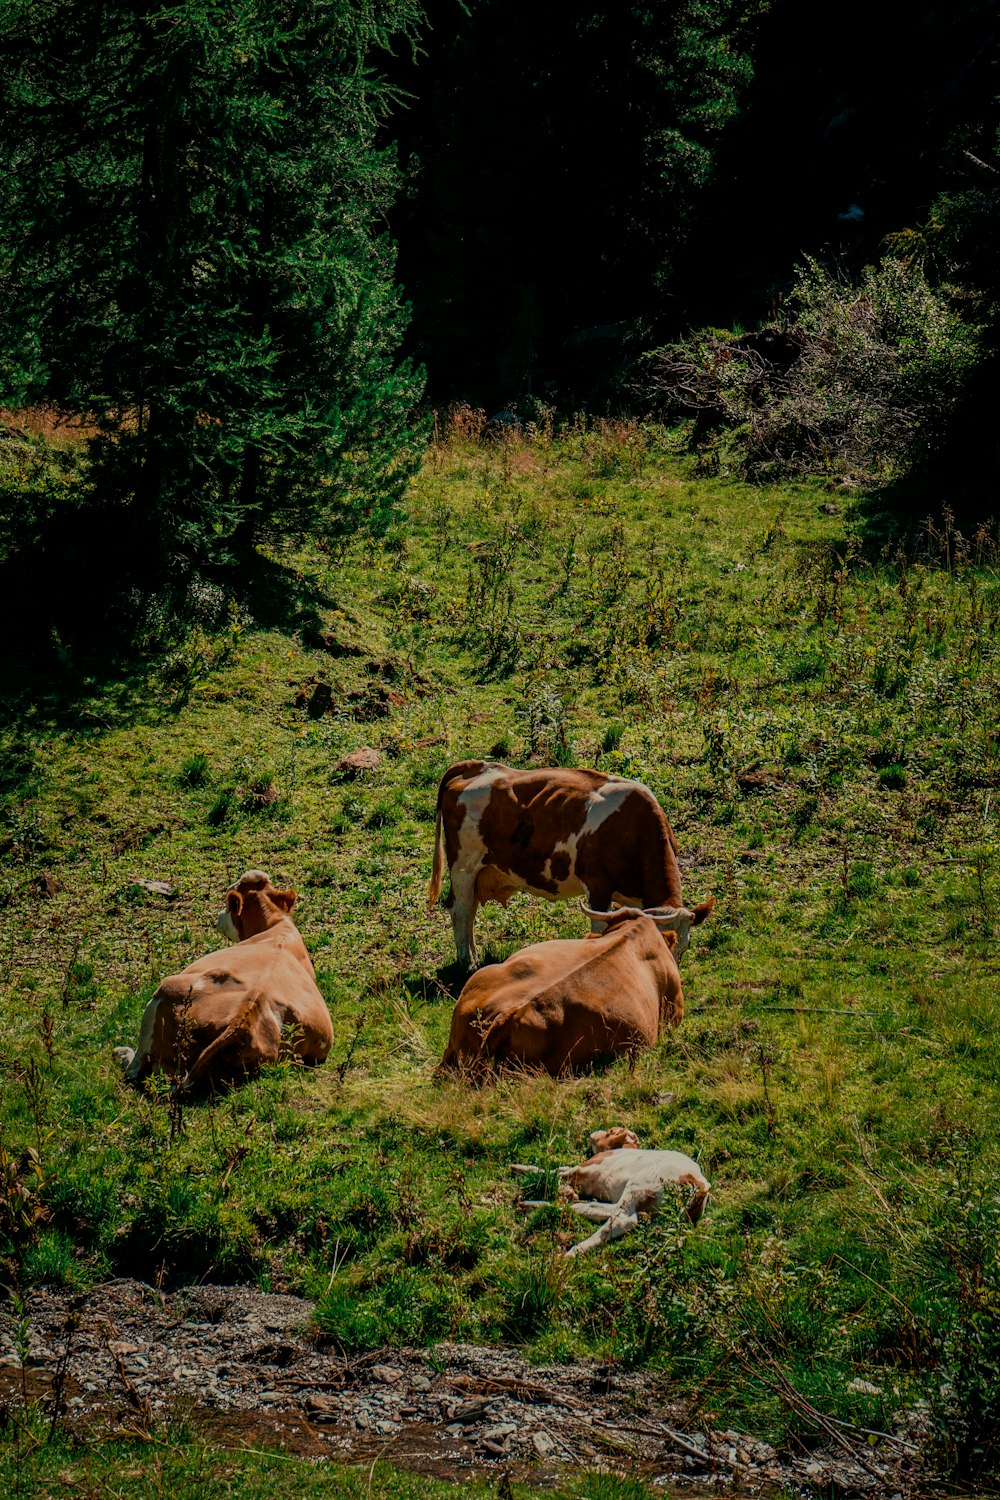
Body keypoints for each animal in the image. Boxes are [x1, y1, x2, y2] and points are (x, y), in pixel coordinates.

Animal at [111, 870, 334, 1092]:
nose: (218, 917)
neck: (277, 924)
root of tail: (248, 1011)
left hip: (165, 991)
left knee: (137, 1068)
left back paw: (121, 1053)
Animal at [425, 762, 710, 972]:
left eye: (682, 949)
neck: (633, 829)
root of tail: (474, 766)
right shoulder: (598, 886)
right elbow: (600, 931)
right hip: (464, 866)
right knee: (461, 911)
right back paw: (467, 963)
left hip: (477, 872)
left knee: (470, 911)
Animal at [515, 1128, 710, 1254]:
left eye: (610, 1132)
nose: (594, 1132)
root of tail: (700, 1182)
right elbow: (560, 1170)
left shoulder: (585, 1168)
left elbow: (554, 1172)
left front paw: (521, 1168)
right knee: (597, 1209)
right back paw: (532, 1205)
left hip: (639, 1185)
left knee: (624, 1219)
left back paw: (572, 1253)